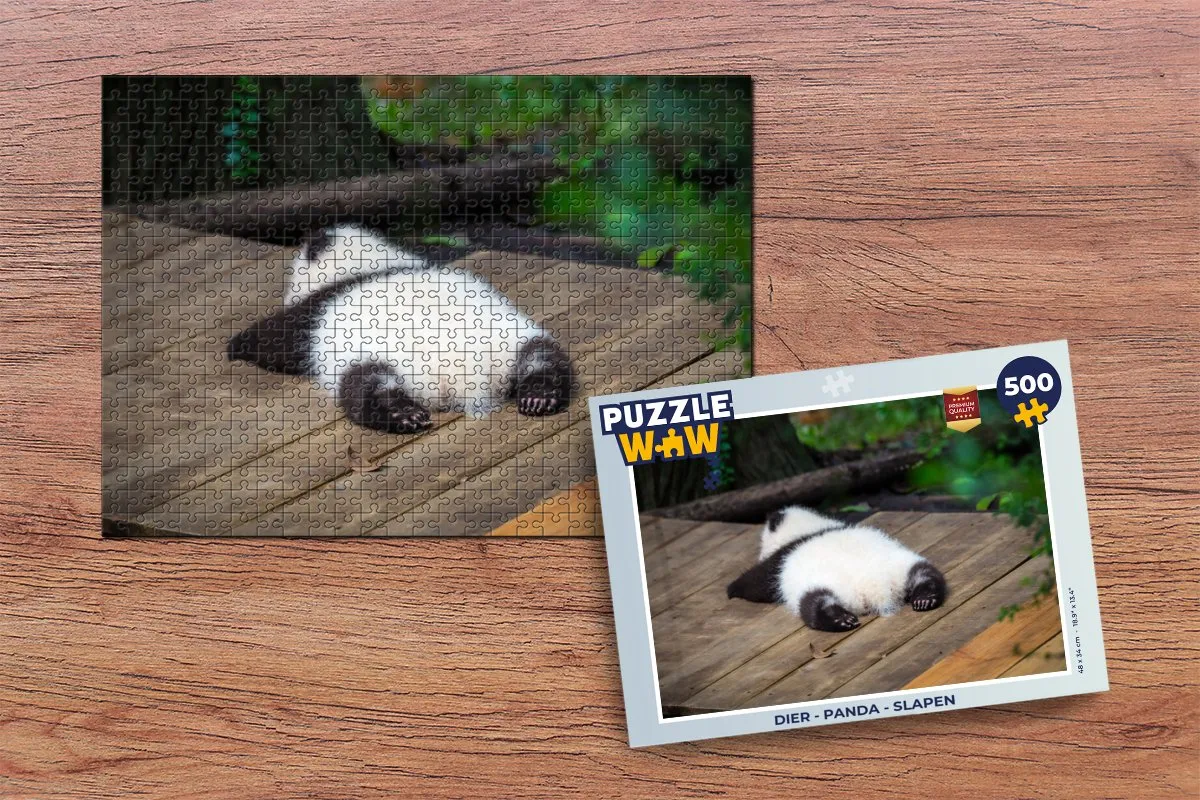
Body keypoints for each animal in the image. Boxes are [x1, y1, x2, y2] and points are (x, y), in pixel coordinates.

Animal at [227, 225, 574, 433]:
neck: (368, 264)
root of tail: (460, 373)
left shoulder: (316, 311)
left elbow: (276, 338)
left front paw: (237, 345)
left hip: (368, 357)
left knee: (364, 387)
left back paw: (401, 414)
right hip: (511, 337)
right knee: (543, 357)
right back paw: (539, 395)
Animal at [726, 506, 947, 632]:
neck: (808, 528)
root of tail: (874, 587)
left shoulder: (780, 559)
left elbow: (757, 582)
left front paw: (732, 589)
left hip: (820, 584)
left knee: (814, 603)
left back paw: (839, 619)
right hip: (900, 565)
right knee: (925, 574)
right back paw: (925, 598)